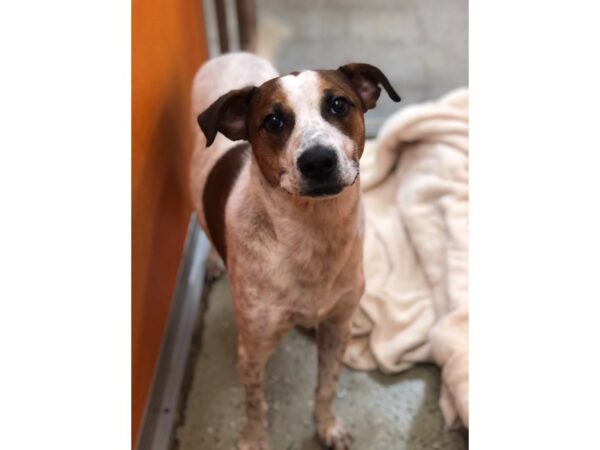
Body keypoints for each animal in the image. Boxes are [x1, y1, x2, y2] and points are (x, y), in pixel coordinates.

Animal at [190, 53, 400, 450]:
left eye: (339, 105)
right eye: (272, 121)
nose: (318, 160)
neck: (311, 233)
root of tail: (230, 54)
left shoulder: (337, 327)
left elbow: (326, 387)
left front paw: (327, 426)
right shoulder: (252, 348)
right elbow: (255, 403)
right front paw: (254, 438)